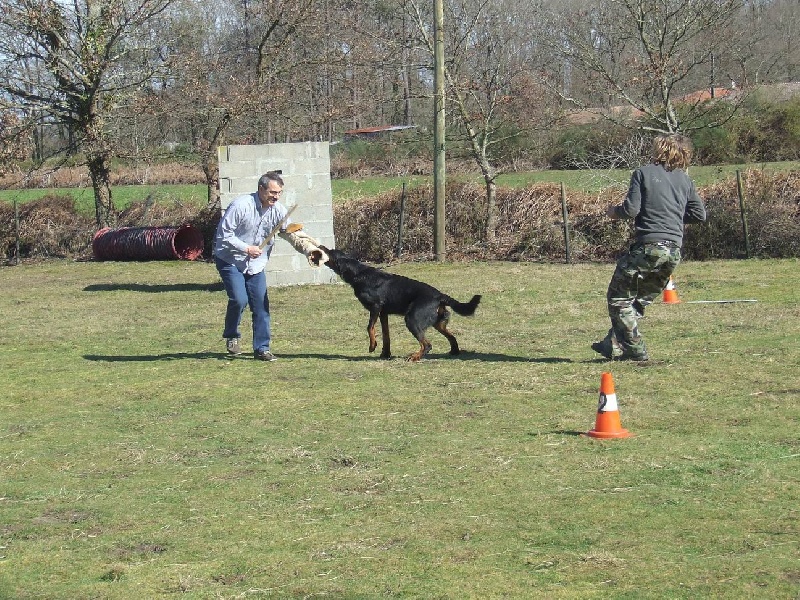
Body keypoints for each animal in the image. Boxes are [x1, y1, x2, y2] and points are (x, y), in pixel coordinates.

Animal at [318, 245, 482, 360]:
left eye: (330, 252)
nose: (321, 246)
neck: (359, 274)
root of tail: (440, 295)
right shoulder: (383, 313)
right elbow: (386, 336)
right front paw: (385, 354)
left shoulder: (375, 307)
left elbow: (370, 327)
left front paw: (372, 346)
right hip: (438, 322)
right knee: (451, 337)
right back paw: (453, 352)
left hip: (412, 319)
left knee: (427, 344)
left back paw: (415, 357)